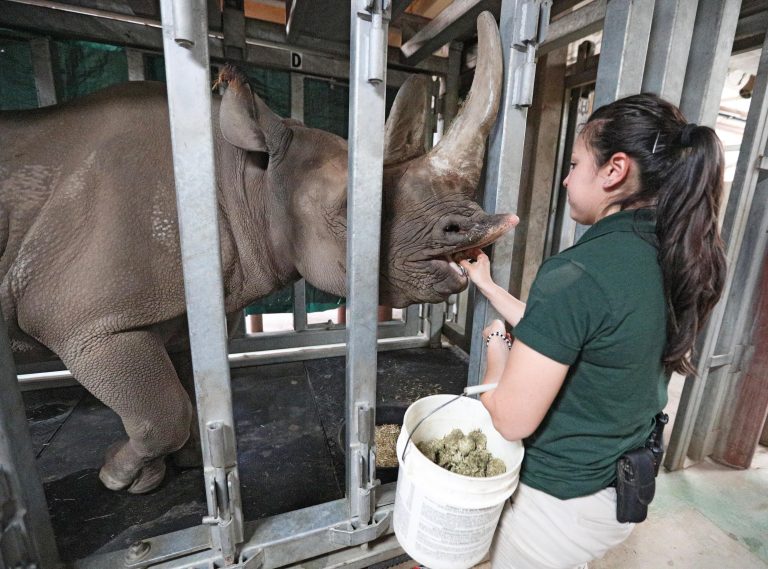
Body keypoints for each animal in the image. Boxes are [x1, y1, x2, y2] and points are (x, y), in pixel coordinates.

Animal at [0, 12, 516, 493]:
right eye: (351, 211)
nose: (473, 227)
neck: (245, 180)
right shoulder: (89, 323)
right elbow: (163, 409)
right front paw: (119, 478)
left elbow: (186, 389)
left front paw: (183, 464)